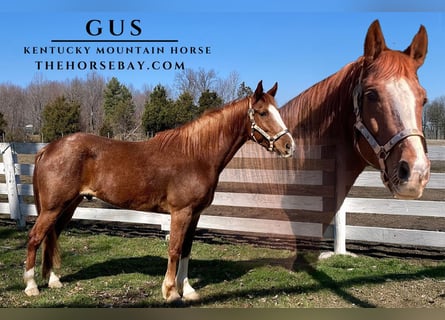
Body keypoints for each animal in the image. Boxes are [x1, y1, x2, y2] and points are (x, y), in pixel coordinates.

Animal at [24, 81, 294, 302]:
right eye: (262, 113)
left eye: (277, 112)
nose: (289, 146)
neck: (196, 155)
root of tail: (48, 149)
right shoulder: (181, 213)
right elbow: (174, 249)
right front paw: (171, 291)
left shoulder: (195, 215)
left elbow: (186, 250)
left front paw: (188, 290)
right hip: (53, 208)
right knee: (35, 237)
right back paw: (31, 286)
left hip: (68, 206)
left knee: (51, 236)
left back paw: (53, 280)